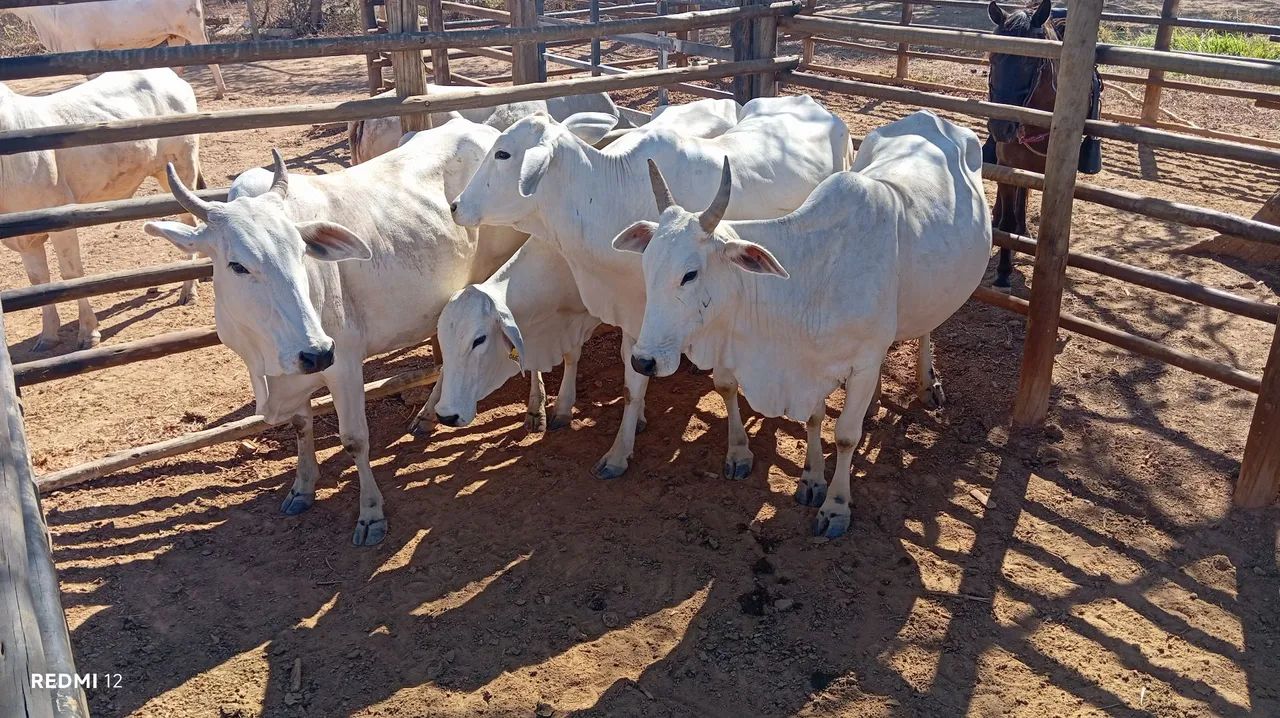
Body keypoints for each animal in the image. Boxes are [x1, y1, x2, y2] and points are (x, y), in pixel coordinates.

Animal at [1, 69, 203, 351]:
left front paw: (88, 332)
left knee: (190, 221)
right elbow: (39, 281)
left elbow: (72, 275)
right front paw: (47, 336)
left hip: (180, 167)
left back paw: (189, 289)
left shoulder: (60, 221)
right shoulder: (24, 238)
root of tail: (168, 74)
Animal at [143, 115, 618, 546]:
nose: (317, 351)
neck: (264, 360)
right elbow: (300, 427)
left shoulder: (344, 363)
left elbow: (354, 440)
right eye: (237, 265)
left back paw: (536, 408)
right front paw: (302, 487)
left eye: (301, 252)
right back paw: (428, 414)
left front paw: (370, 515)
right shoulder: (295, 366)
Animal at [613, 110, 991, 538]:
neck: (810, 276)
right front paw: (811, 480)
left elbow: (845, 436)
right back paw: (876, 401)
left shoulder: (860, 364)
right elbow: (813, 418)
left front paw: (836, 506)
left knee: (926, 328)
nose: (642, 361)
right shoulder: (812, 364)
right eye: (647, 266)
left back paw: (929, 384)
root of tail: (930, 117)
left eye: (689, 274)